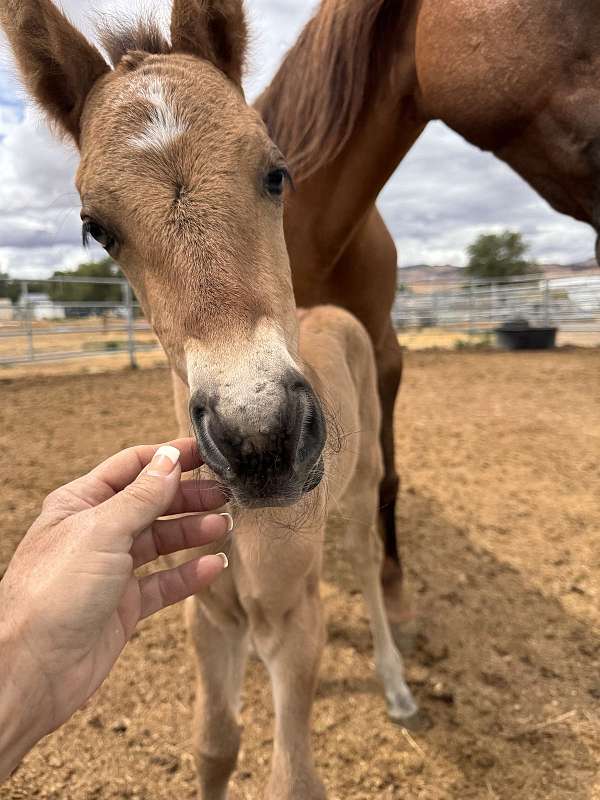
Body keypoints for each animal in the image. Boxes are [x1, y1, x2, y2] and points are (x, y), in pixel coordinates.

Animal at [0, 1, 419, 797]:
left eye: (277, 172)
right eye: (96, 227)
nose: (262, 440)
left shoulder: (295, 624)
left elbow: (293, 778)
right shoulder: (210, 615)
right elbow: (216, 745)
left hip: (361, 489)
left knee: (370, 568)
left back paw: (396, 680)